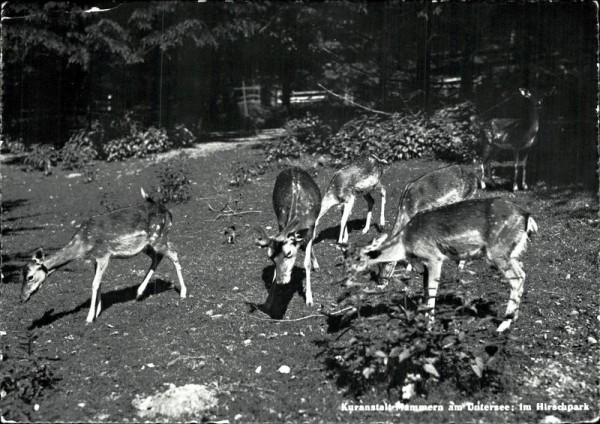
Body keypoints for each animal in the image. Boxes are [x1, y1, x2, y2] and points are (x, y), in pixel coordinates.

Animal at [21, 187, 186, 322]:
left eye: (30, 277)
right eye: (21, 275)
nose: (22, 297)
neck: (82, 245)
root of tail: (168, 212)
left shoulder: (103, 255)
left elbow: (94, 283)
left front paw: (89, 318)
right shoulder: (95, 259)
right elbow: (98, 282)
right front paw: (98, 312)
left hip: (159, 237)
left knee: (174, 254)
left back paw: (183, 293)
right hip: (146, 245)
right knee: (157, 257)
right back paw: (139, 293)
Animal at [253, 167, 322, 306]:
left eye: (289, 253)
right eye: (270, 257)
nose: (280, 280)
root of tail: (293, 167)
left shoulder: (310, 229)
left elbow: (306, 263)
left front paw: (309, 299)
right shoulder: (281, 224)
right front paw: (271, 298)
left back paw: (316, 265)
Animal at [346, 197, 540, 332]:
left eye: (357, 259)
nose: (344, 281)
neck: (405, 243)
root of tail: (527, 217)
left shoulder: (433, 257)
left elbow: (432, 291)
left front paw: (429, 327)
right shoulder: (425, 263)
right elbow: (425, 291)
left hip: (497, 250)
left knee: (516, 278)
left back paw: (503, 325)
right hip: (510, 253)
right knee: (522, 273)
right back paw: (514, 318)